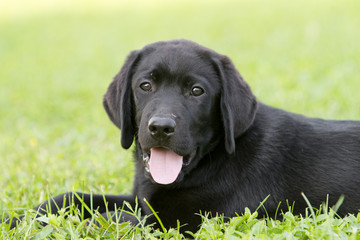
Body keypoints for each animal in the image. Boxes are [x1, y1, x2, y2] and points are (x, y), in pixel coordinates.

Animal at [4, 39, 360, 232]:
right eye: (145, 85)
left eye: (196, 91)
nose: (161, 127)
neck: (210, 162)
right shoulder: (141, 199)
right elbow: (74, 198)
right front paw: (20, 218)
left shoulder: (192, 221)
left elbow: (119, 218)